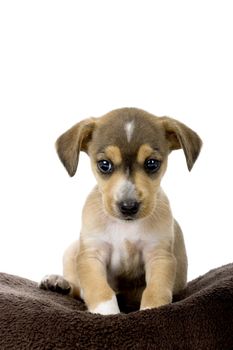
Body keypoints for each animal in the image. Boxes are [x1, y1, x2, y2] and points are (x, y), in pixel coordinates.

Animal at [39, 106, 201, 314]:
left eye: (152, 163)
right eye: (104, 164)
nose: (128, 206)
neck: (126, 227)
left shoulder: (159, 256)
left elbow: (155, 291)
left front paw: (150, 311)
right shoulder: (91, 255)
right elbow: (100, 290)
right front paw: (107, 313)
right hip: (72, 249)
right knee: (77, 288)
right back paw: (57, 282)